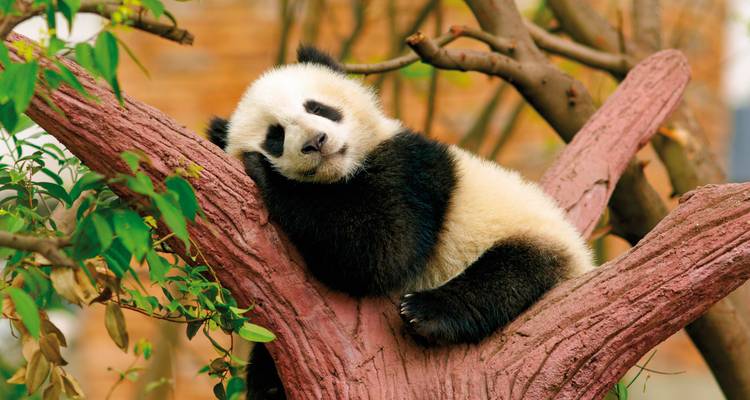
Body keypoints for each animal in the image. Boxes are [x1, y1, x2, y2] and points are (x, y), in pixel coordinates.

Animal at [208, 46, 593, 395]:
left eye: (317, 108)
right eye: (275, 136)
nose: (316, 142)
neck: (342, 174)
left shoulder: (410, 170)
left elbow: (382, 250)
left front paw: (265, 174)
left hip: (531, 234)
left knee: (509, 273)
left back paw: (426, 312)